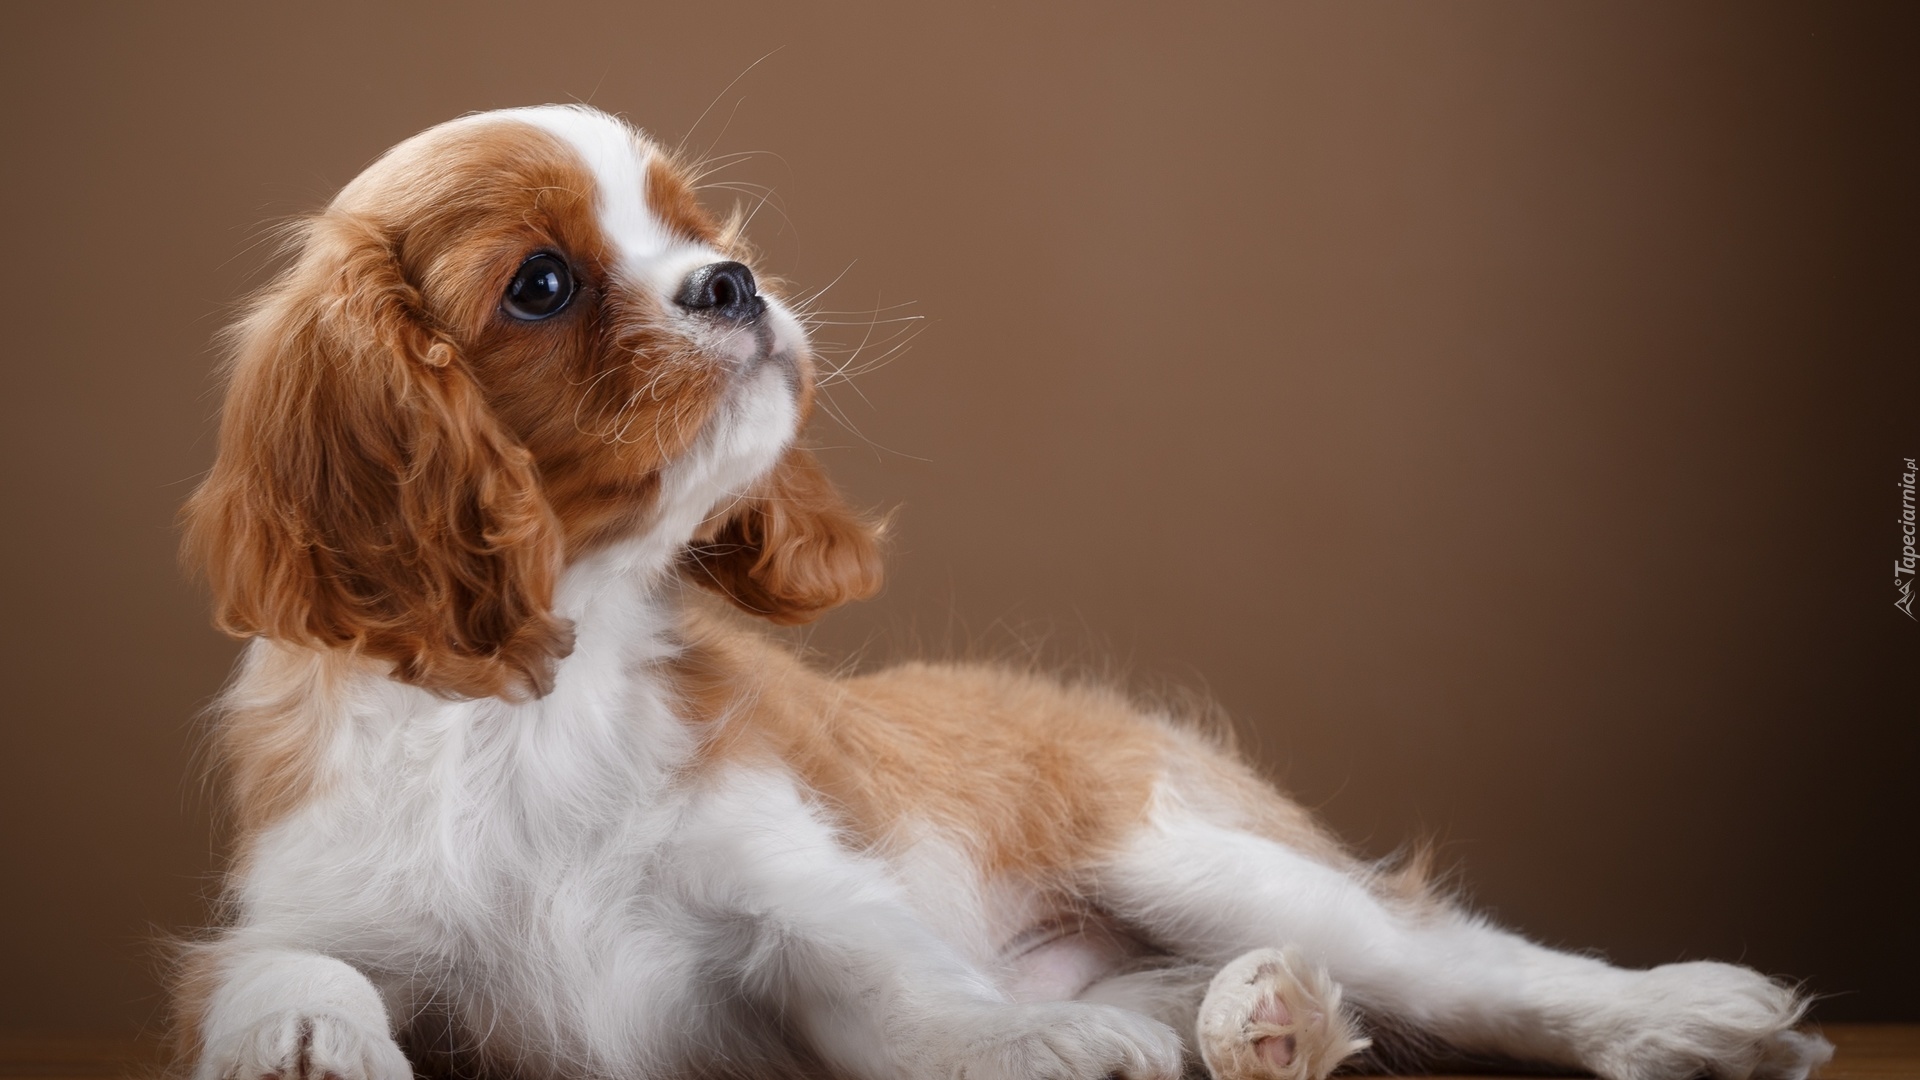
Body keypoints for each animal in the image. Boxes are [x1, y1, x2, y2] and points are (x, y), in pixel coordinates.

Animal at [176, 107, 1827, 1076]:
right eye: (541, 285)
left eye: (702, 231)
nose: (735, 284)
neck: (543, 698)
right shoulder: (317, 900)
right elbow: (285, 968)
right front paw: (306, 1036)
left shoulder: (797, 901)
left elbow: (915, 1004)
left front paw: (1025, 1049)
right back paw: (1255, 1022)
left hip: (1185, 847)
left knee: (1451, 966)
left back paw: (1669, 1014)